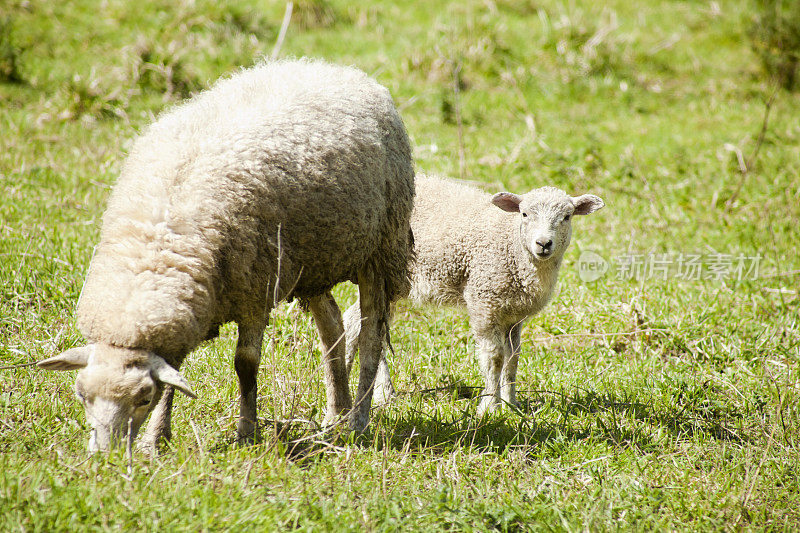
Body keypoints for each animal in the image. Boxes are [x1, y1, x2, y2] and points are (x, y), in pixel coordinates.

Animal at [36, 58, 412, 448]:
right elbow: (176, 376)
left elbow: (245, 364)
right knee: (332, 327)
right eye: (81, 394)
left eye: (142, 396)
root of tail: (331, 67)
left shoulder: (255, 292)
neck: (157, 248)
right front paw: (155, 440)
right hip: (312, 259)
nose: (105, 455)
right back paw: (335, 414)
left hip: (381, 248)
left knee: (370, 338)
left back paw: (358, 421)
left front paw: (247, 432)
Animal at [342, 172, 600, 414]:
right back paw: (370, 386)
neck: (513, 248)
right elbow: (494, 358)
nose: (543, 244)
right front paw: (490, 406)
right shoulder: (484, 300)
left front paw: (511, 404)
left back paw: (380, 392)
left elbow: (513, 358)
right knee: (355, 321)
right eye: (525, 214)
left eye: (567, 217)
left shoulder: (515, 315)